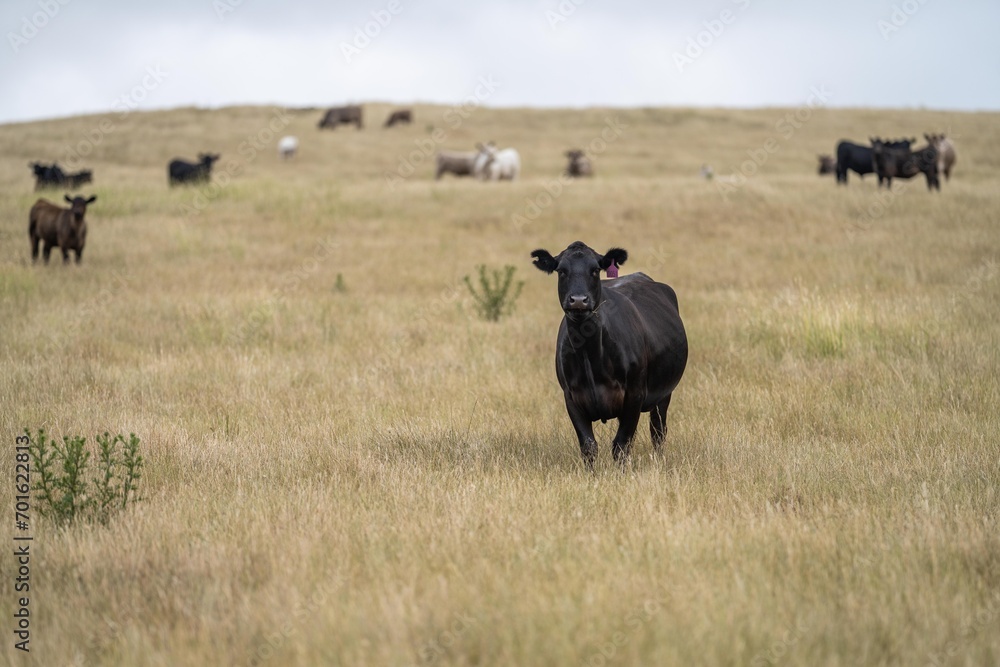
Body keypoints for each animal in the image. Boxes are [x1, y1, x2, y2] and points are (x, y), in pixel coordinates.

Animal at [531, 241, 688, 467]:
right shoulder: (571, 396)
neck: (590, 356)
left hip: (664, 394)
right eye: (561, 271)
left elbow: (621, 445)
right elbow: (588, 446)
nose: (578, 300)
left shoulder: (635, 394)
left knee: (658, 432)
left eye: (595, 270)